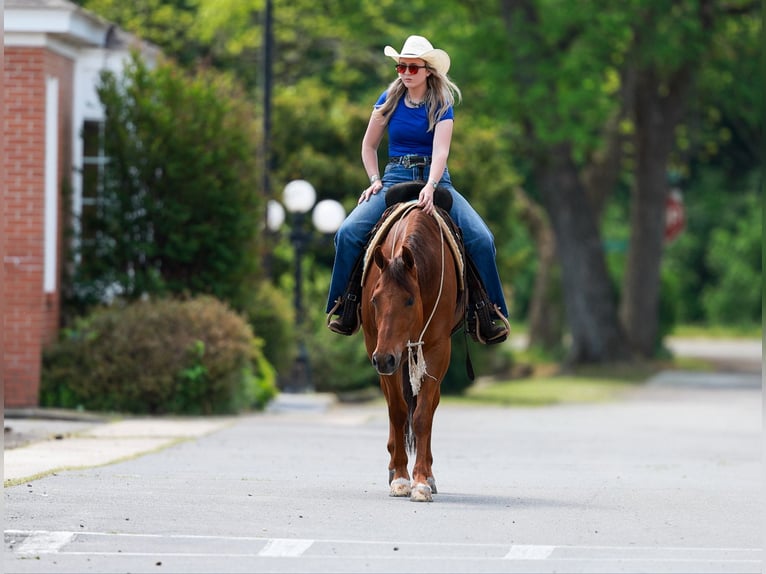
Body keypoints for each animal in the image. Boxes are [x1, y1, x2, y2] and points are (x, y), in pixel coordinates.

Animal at [360, 183, 465, 502]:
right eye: (374, 300)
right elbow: (397, 411)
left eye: (408, 300)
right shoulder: (376, 345)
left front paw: (420, 481)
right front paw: (400, 477)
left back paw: (428, 474)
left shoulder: (438, 348)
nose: (384, 359)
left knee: (428, 406)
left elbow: (421, 415)